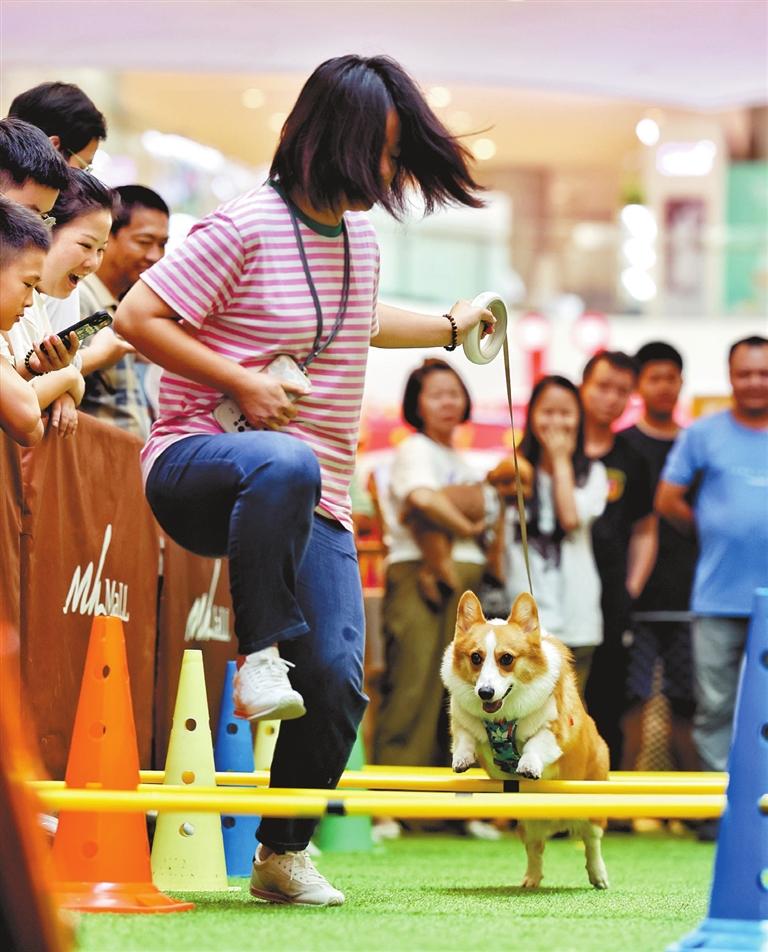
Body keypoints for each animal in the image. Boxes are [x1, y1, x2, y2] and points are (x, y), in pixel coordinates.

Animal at [440, 589, 610, 889]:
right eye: (476, 657)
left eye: (506, 659)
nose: (485, 692)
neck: (503, 716)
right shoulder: (462, 720)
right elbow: (465, 737)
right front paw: (461, 759)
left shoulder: (554, 730)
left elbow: (535, 744)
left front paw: (528, 766)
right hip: (526, 821)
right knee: (535, 848)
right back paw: (531, 879)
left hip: (592, 807)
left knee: (591, 842)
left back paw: (598, 875)